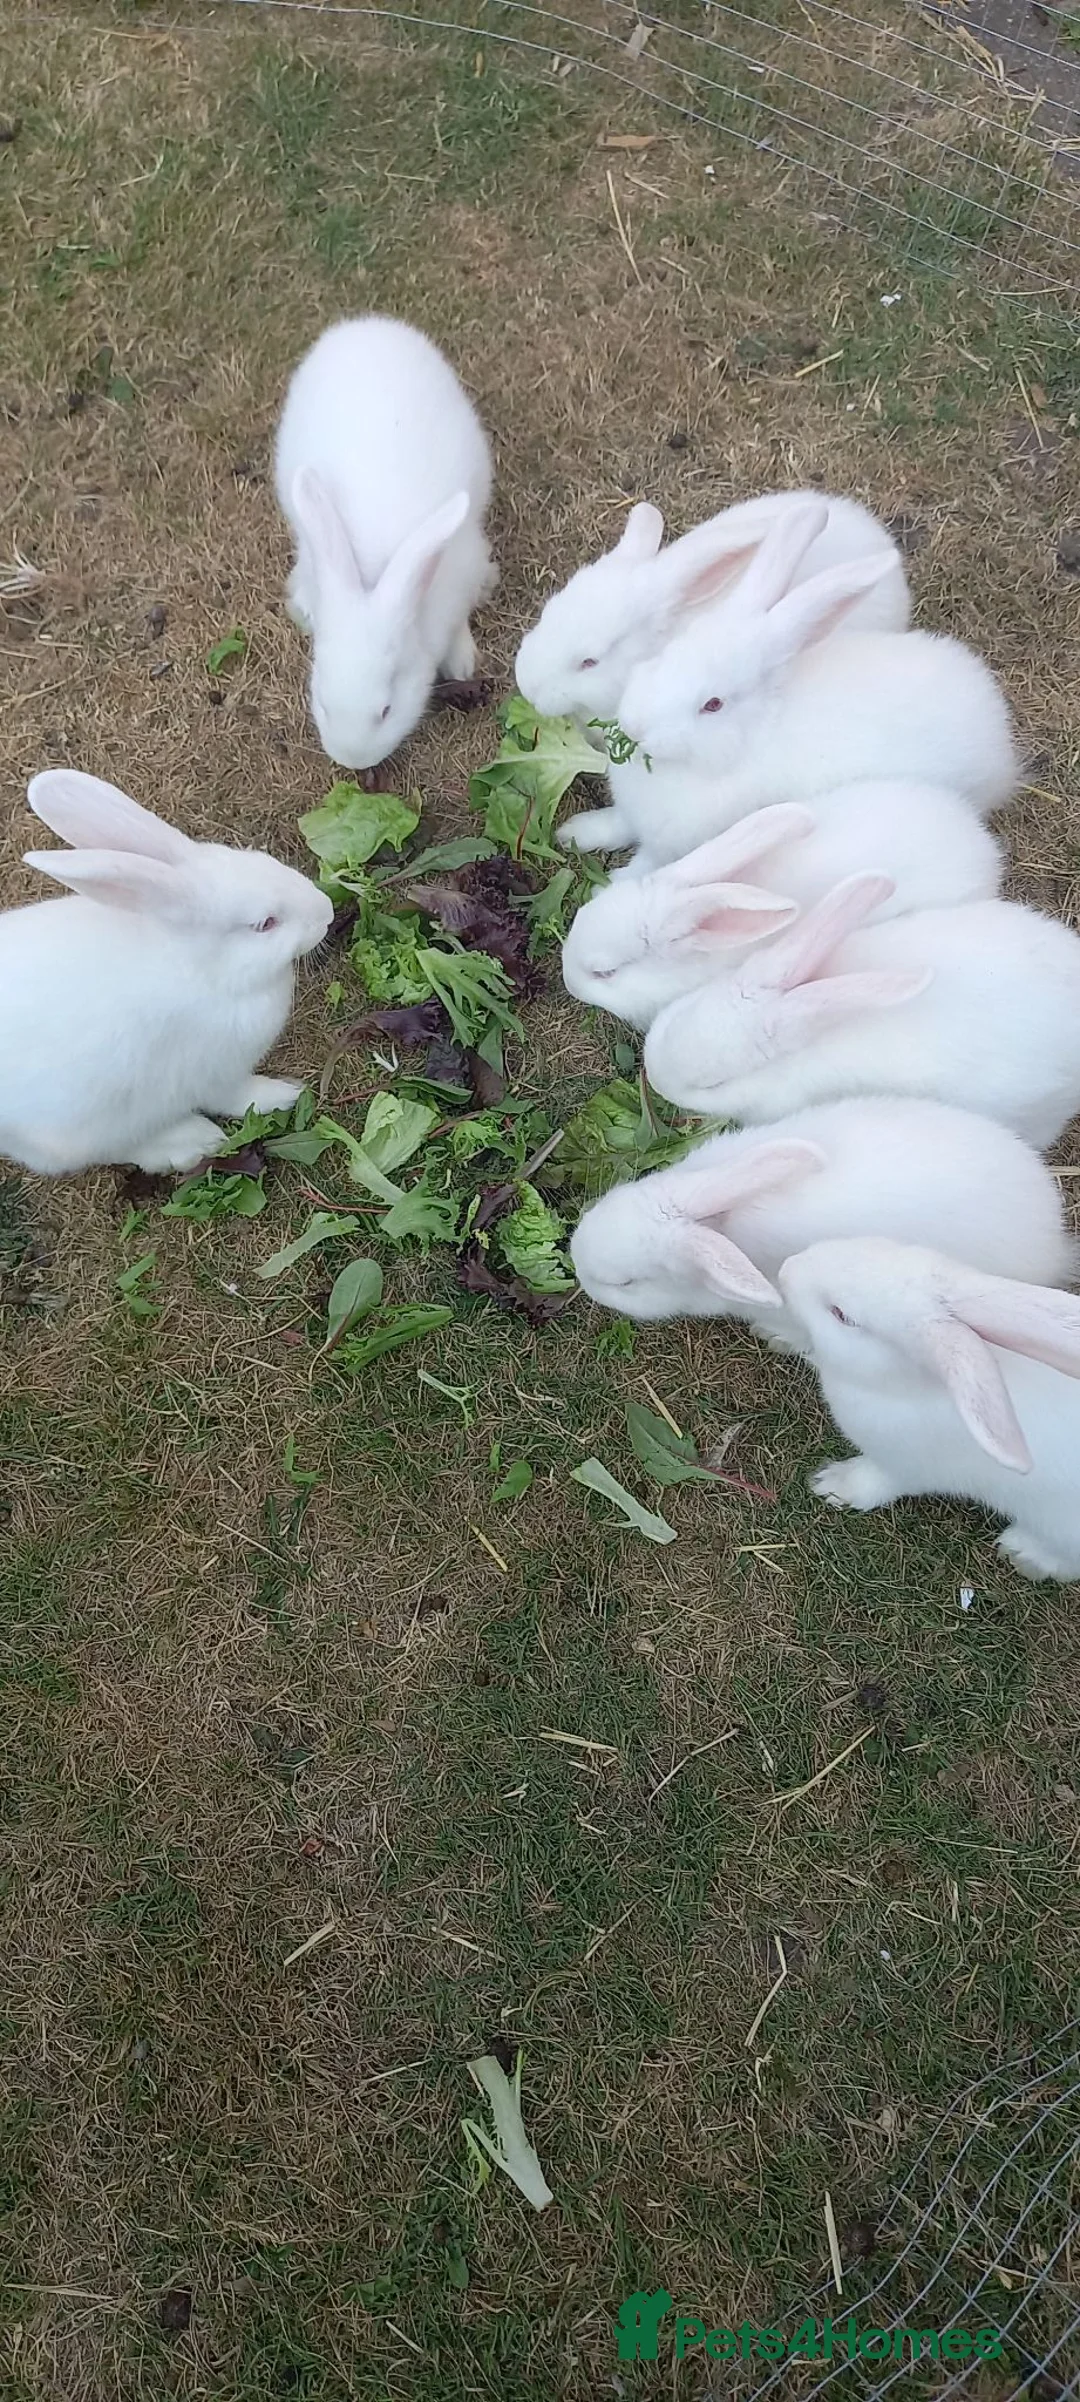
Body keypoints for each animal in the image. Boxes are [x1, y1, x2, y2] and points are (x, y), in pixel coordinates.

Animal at [0, 770, 333, 1176]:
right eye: (265, 924)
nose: (328, 911)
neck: (202, 971)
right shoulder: (214, 1070)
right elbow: (238, 1096)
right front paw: (284, 1094)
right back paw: (191, 1141)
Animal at [559, 501, 1017, 870]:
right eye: (670, 650)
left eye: (713, 704)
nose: (635, 725)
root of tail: (998, 731)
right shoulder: (633, 816)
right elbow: (614, 824)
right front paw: (573, 833)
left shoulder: (676, 844)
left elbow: (649, 863)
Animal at [570, 1098, 1075, 1356]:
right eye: (609, 1200)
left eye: (626, 1283)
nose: (576, 1262)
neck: (722, 1224)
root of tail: (1052, 1239)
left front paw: (773, 1338)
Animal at [779, 1236, 1080, 1582]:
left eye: (841, 1315)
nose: (785, 1269)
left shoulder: (905, 1465)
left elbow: (874, 1482)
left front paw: (832, 1484)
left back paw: (1023, 1553)